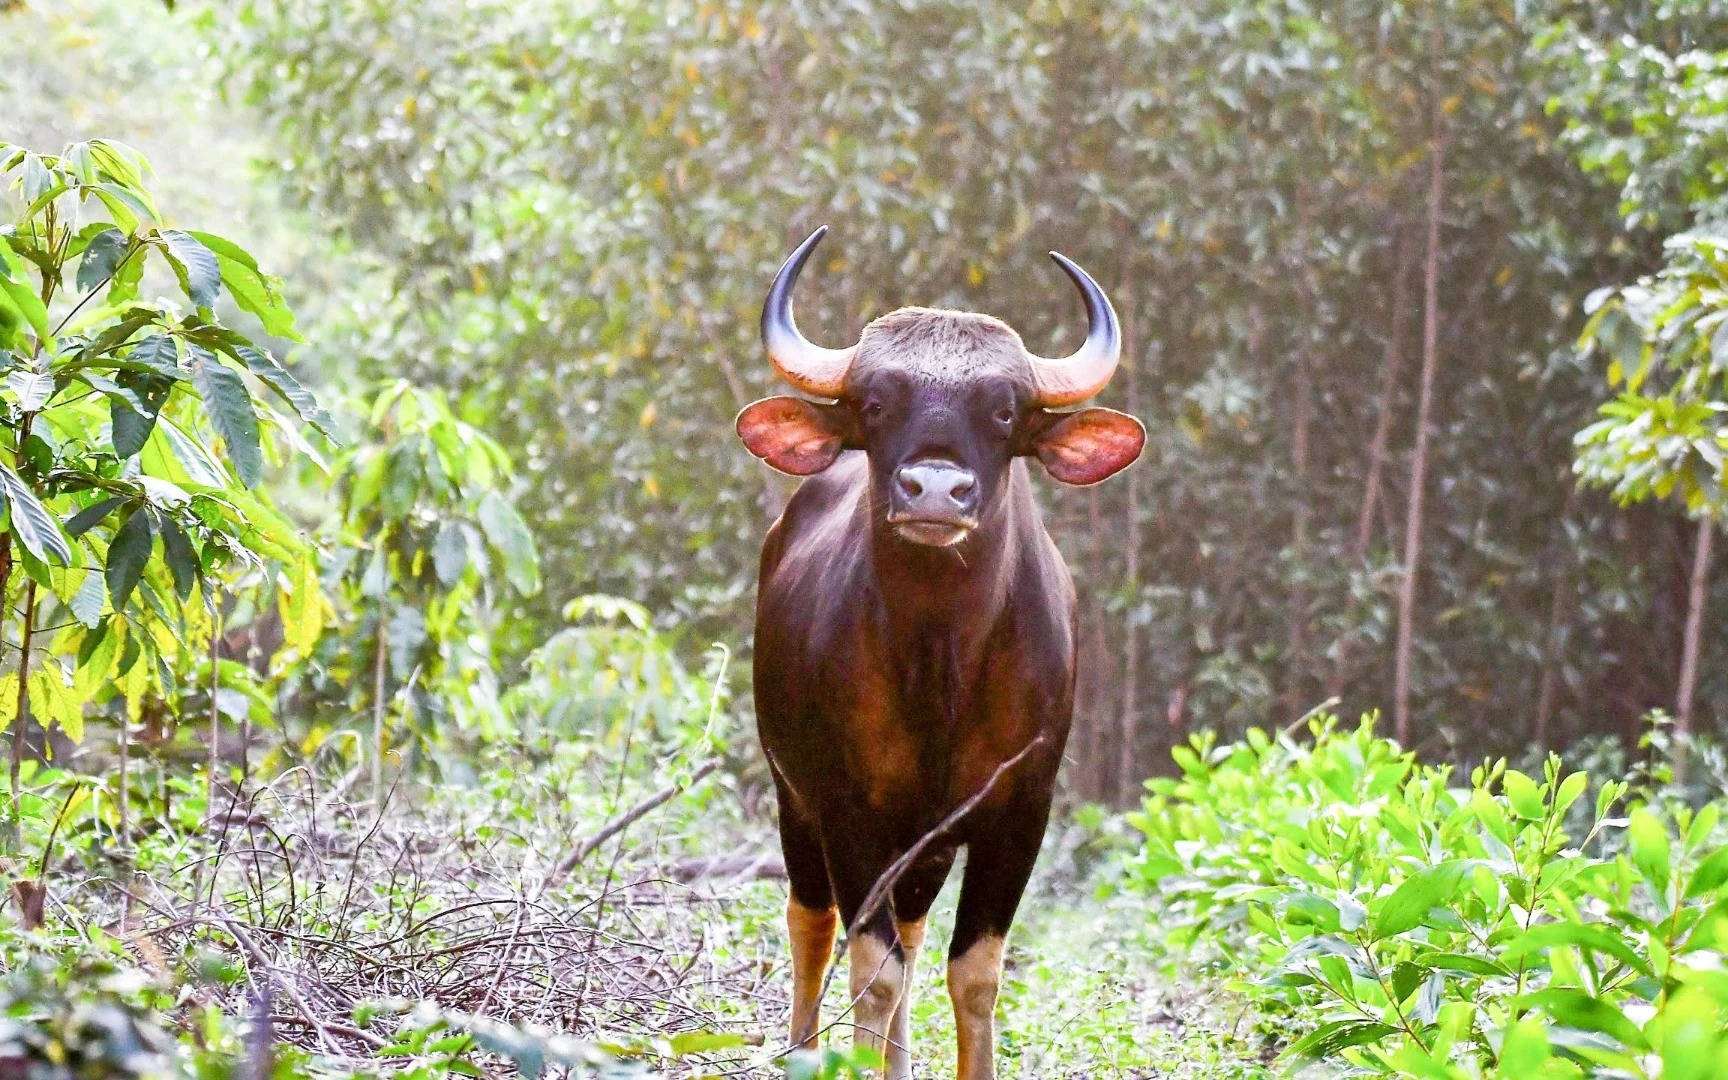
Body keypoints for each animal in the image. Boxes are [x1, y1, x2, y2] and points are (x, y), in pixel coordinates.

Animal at [732, 229, 1147, 1078]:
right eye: (876, 403)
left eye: (1005, 411)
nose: (932, 490)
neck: (941, 670)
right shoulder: (849, 810)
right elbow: (873, 970)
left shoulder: (1020, 811)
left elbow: (974, 973)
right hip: (795, 799)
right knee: (811, 921)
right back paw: (802, 1049)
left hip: (922, 848)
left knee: (916, 934)